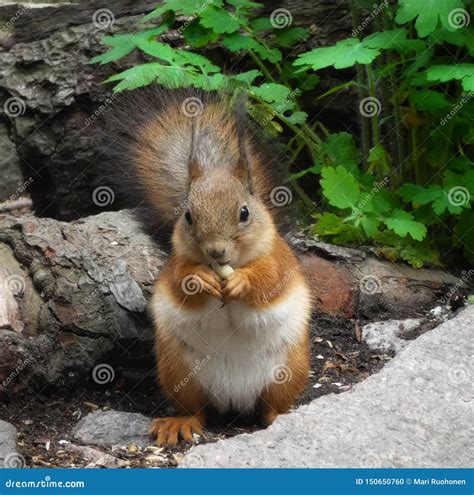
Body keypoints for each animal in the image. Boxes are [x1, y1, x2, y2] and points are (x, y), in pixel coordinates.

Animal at [109, 88, 312, 446]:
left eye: (244, 213)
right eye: (188, 216)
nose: (216, 251)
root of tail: (235, 400)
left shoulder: (279, 261)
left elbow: (269, 281)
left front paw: (243, 282)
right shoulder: (175, 265)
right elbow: (180, 285)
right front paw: (200, 279)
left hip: (288, 371)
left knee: (272, 405)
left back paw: (280, 416)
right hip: (180, 373)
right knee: (197, 411)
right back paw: (179, 423)